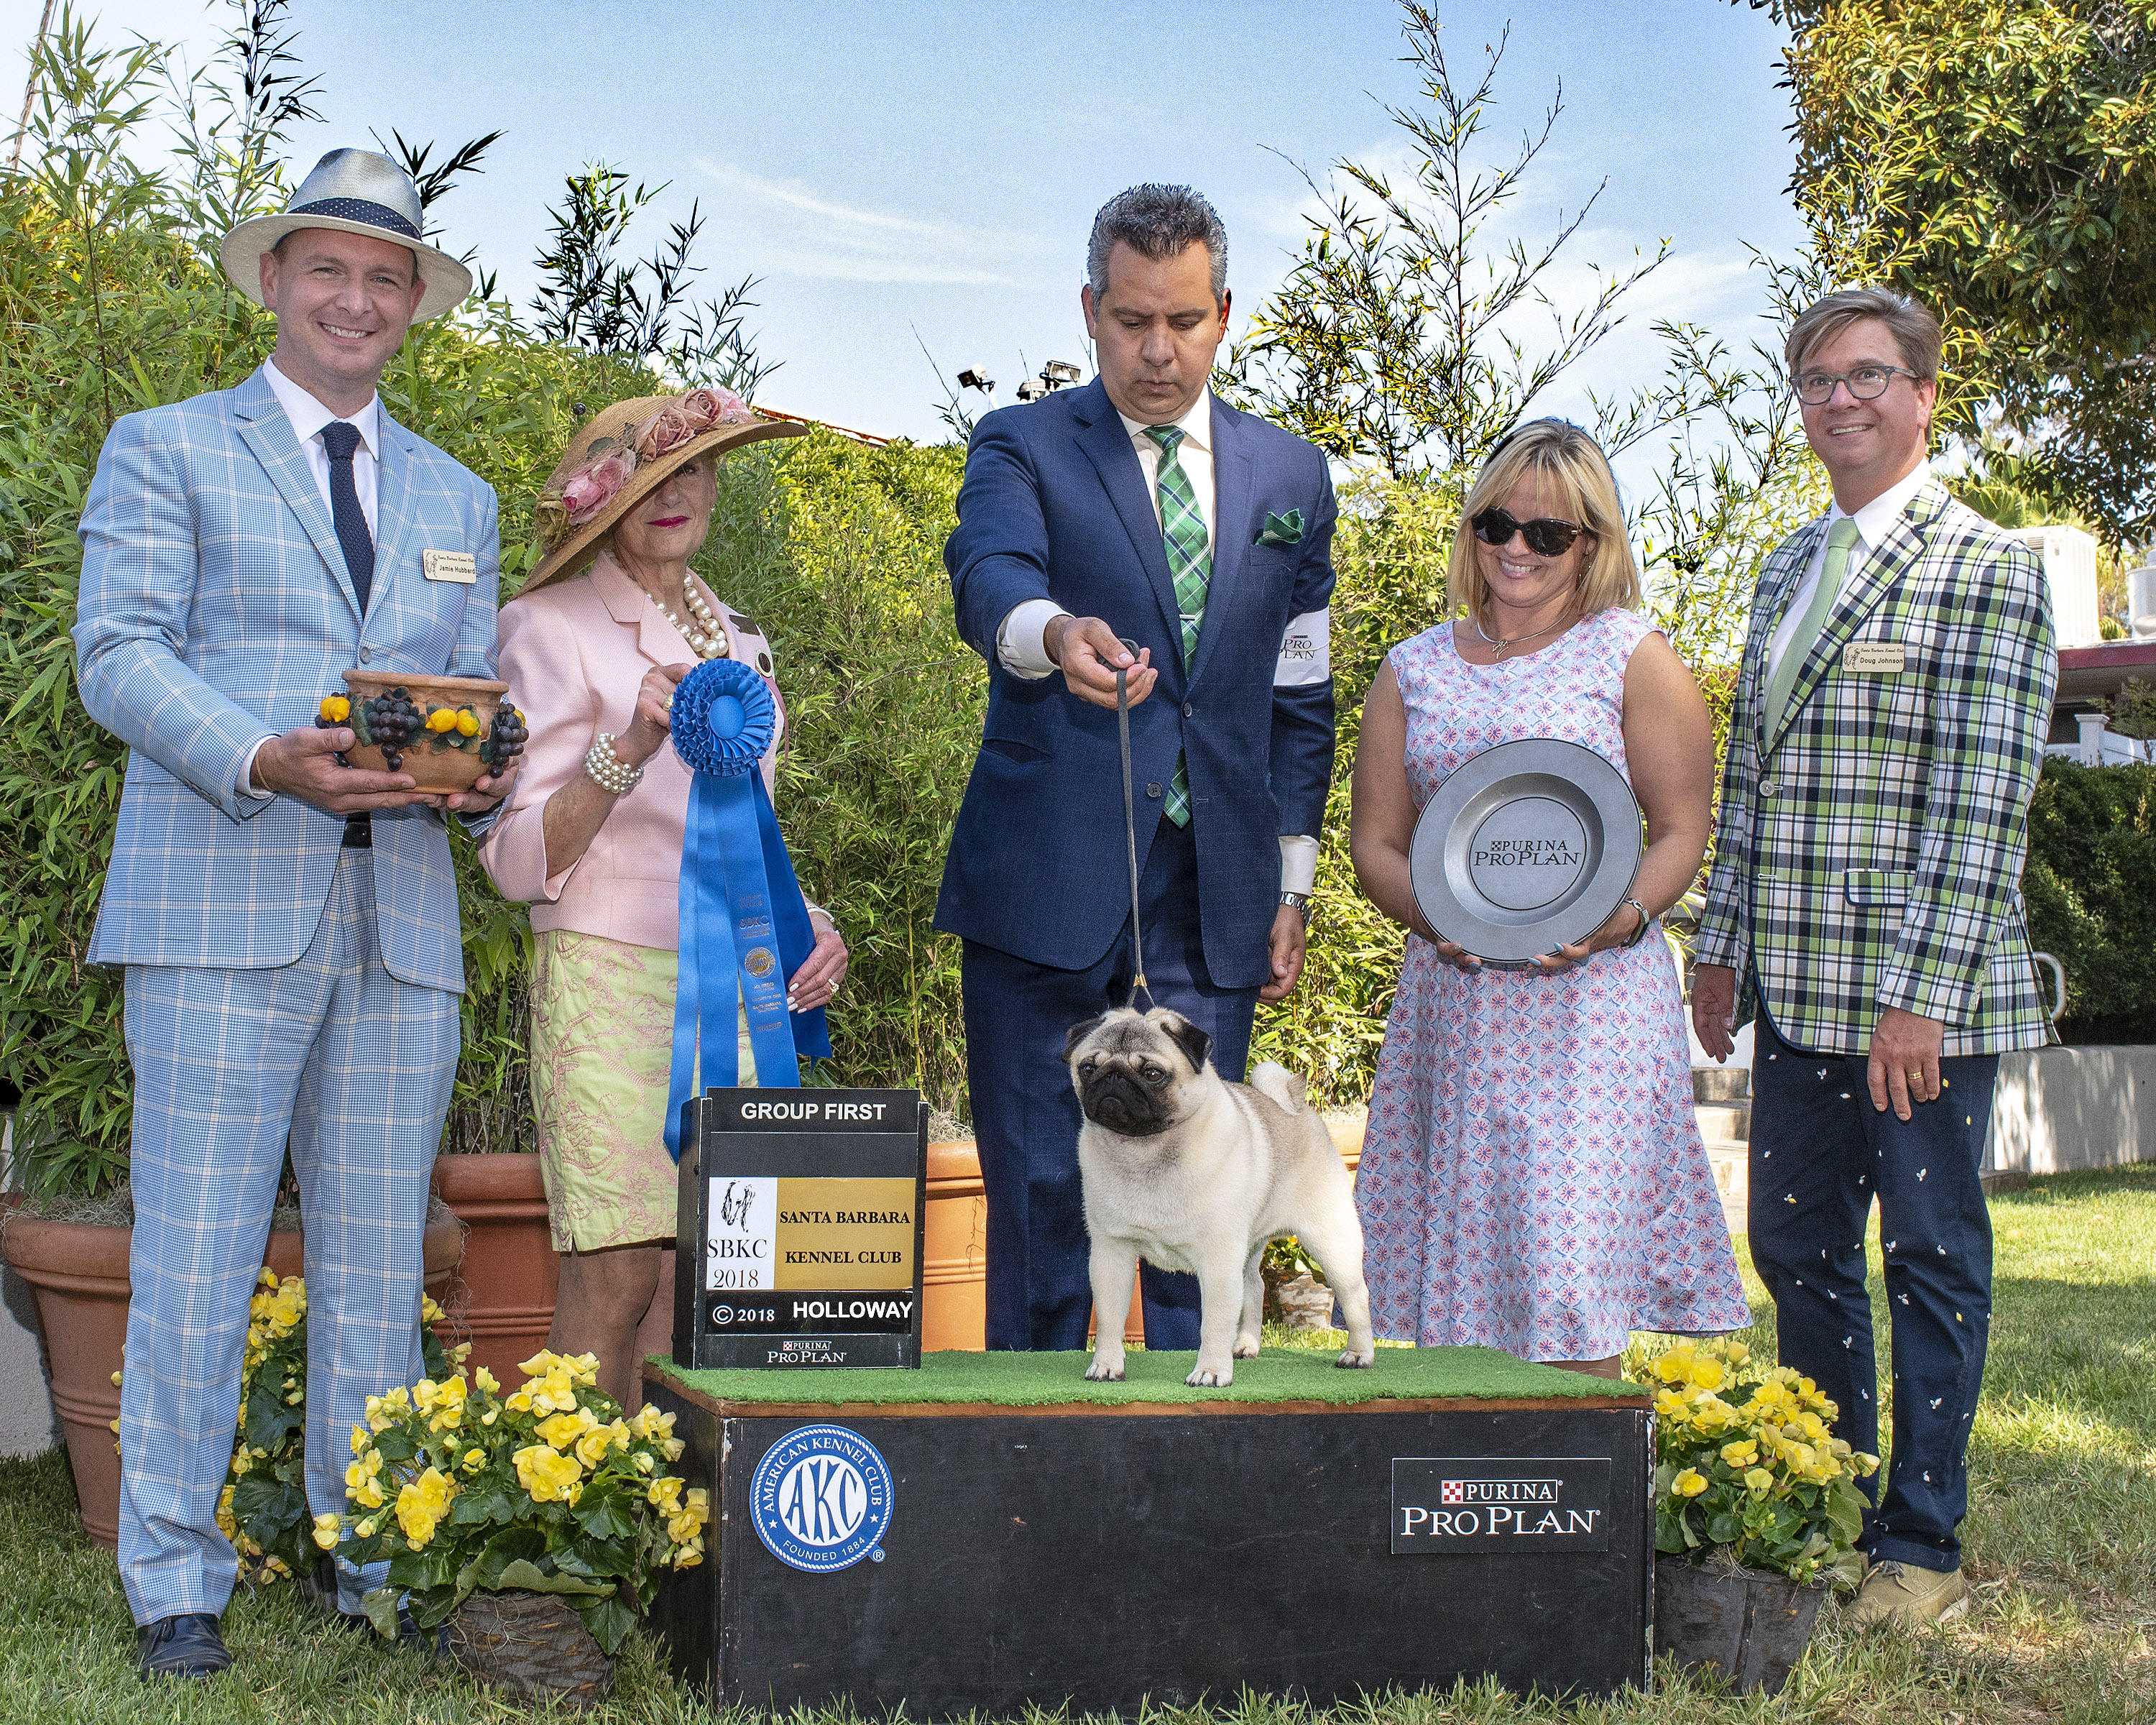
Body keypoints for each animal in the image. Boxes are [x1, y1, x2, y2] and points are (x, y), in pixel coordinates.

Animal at [1063, 1005, 1375, 1387]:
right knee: (1255, 1287)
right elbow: (1110, 1320)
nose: (1113, 1079)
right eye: (1088, 1068)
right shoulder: (1111, 1254)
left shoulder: (1218, 1260)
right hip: (1249, 1248)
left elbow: (1213, 1323)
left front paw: (1211, 1371)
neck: (1144, 1150)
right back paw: (1245, 1346)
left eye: (1152, 1073)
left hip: (1331, 1240)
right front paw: (1107, 1365)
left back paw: (1359, 1354)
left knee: (1355, 1295)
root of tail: (1295, 1104)